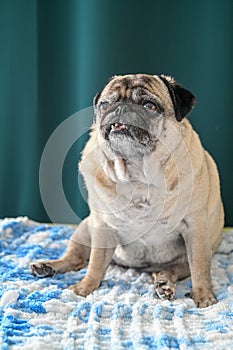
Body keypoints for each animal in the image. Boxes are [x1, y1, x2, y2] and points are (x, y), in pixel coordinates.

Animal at [31, 73, 224, 306]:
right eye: (105, 104)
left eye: (150, 106)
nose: (121, 108)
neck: (137, 175)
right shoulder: (103, 227)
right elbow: (95, 264)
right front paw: (85, 288)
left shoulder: (195, 228)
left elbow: (200, 268)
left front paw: (203, 295)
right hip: (85, 230)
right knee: (76, 258)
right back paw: (47, 266)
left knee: (174, 269)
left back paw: (163, 283)